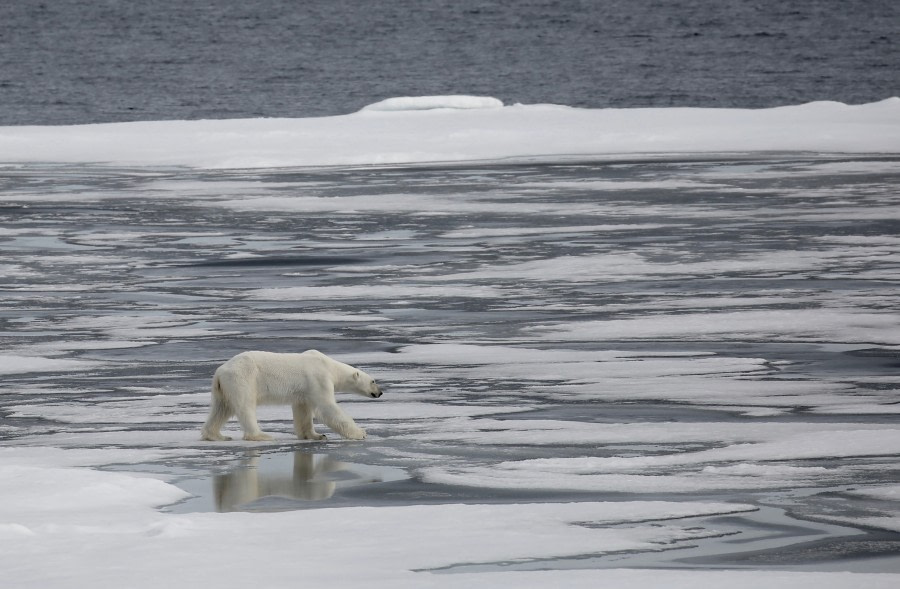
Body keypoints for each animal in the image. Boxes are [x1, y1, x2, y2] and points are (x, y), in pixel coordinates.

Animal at [200, 350, 384, 440]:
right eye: (373, 381)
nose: (380, 392)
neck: (329, 366)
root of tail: (219, 371)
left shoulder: (305, 390)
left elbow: (303, 411)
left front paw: (316, 435)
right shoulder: (319, 379)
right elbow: (328, 408)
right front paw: (360, 433)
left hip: (224, 387)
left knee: (221, 408)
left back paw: (217, 436)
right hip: (242, 379)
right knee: (246, 407)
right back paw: (261, 436)